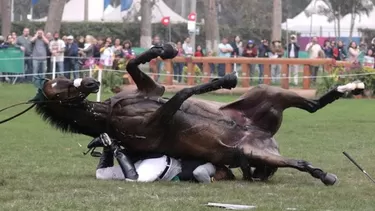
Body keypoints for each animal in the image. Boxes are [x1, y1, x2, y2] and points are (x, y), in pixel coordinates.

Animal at [33, 43, 364, 185]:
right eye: (53, 85)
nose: (91, 82)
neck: (109, 114)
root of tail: (266, 139)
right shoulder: (160, 119)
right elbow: (182, 94)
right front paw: (223, 80)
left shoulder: (151, 90)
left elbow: (134, 65)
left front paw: (164, 50)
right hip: (255, 153)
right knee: (301, 161)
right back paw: (324, 175)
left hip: (267, 93)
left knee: (313, 106)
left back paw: (351, 86)